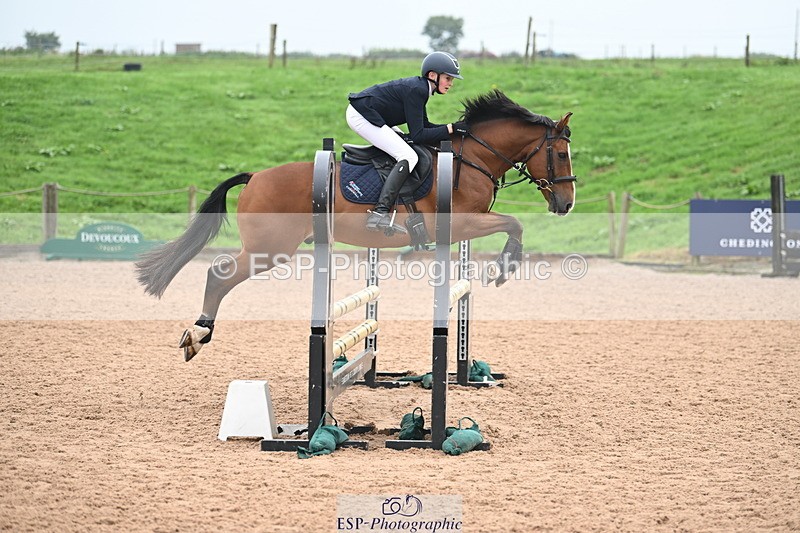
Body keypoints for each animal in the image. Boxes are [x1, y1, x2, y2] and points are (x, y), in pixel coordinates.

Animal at [135, 90, 576, 361]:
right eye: (560, 154)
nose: (567, 203)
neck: (472, 159)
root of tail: (255, 176)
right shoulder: (462, 224)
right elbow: (514, 224)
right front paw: (505, 268)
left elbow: (513, 225)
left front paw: (504, 267)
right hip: (270, 248)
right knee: (219, 273)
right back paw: (197, 336)